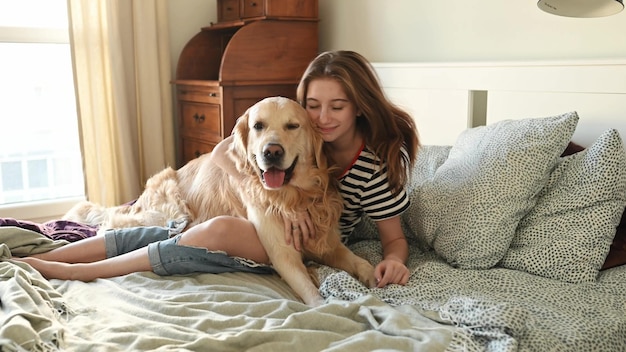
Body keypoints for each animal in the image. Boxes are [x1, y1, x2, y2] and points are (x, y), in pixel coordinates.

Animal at [63, 96, 376, 306]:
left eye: (292, 126)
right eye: (258, 126)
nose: (271, 152)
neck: (294, 197)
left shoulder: (328, 243)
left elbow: (356, 260)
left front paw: (373, 274)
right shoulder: (283, 255)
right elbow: (312, 295)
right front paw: (326, 305)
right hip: (167, 214)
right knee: (112, 226)